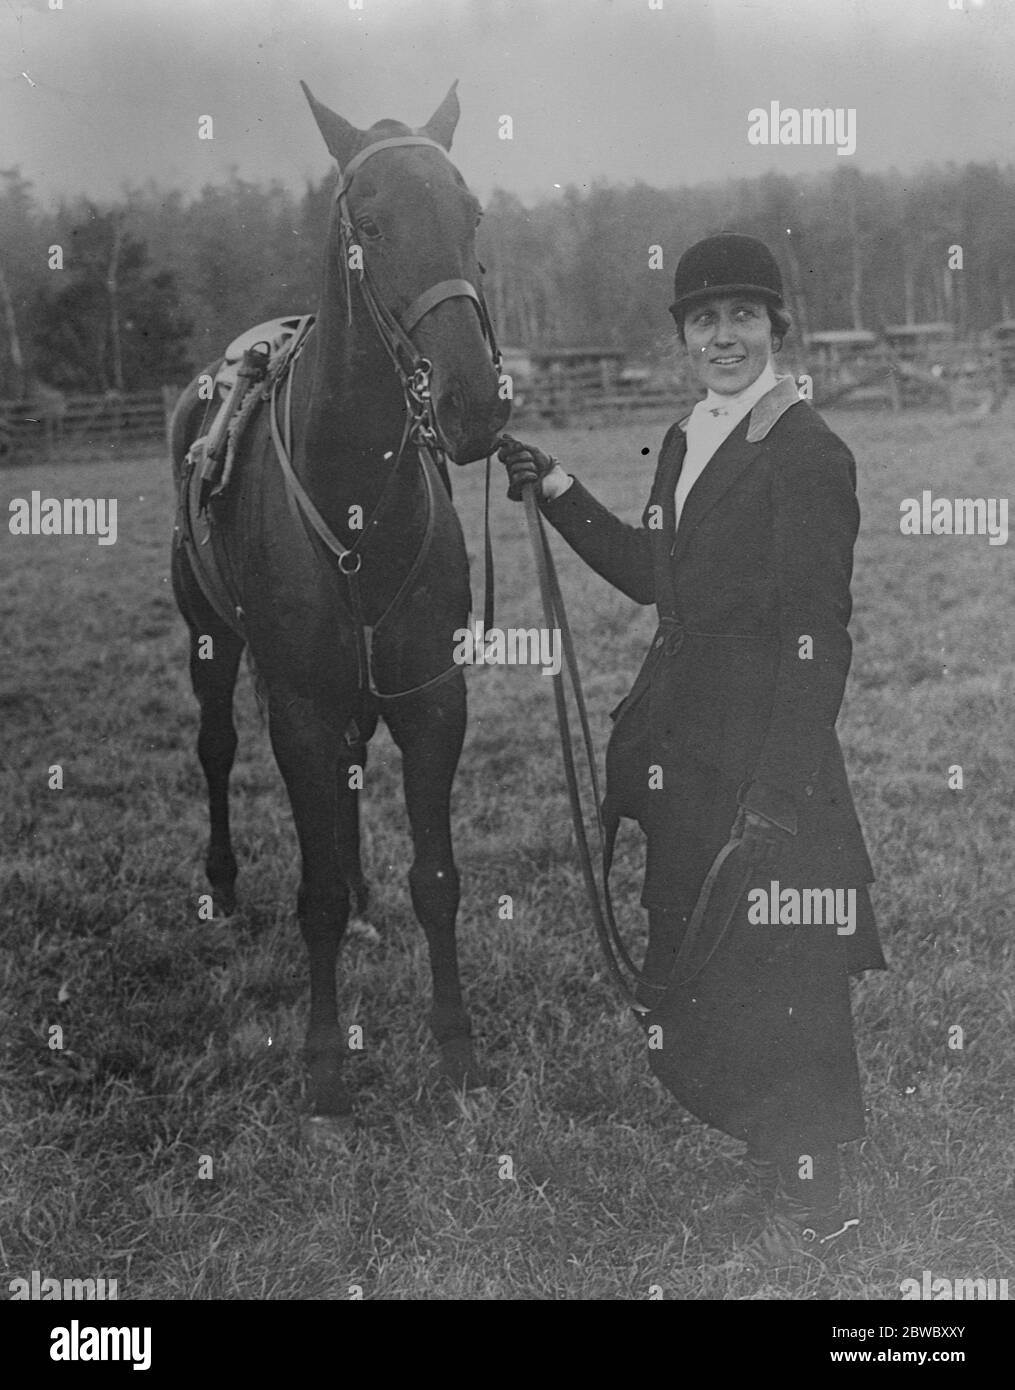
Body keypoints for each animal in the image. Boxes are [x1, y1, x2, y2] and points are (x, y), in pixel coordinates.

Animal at [171, 81, 514, 1128]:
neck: (354, 486)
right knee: (215, 748)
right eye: (369, 225)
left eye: (471, 215)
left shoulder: (432, 696)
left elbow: (436, 879)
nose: (475, 402)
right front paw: (325, 1073)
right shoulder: (300, 708)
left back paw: (366, 899)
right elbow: (311, 892)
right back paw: (225, 888)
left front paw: (457, 1052)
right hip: (210, 642)